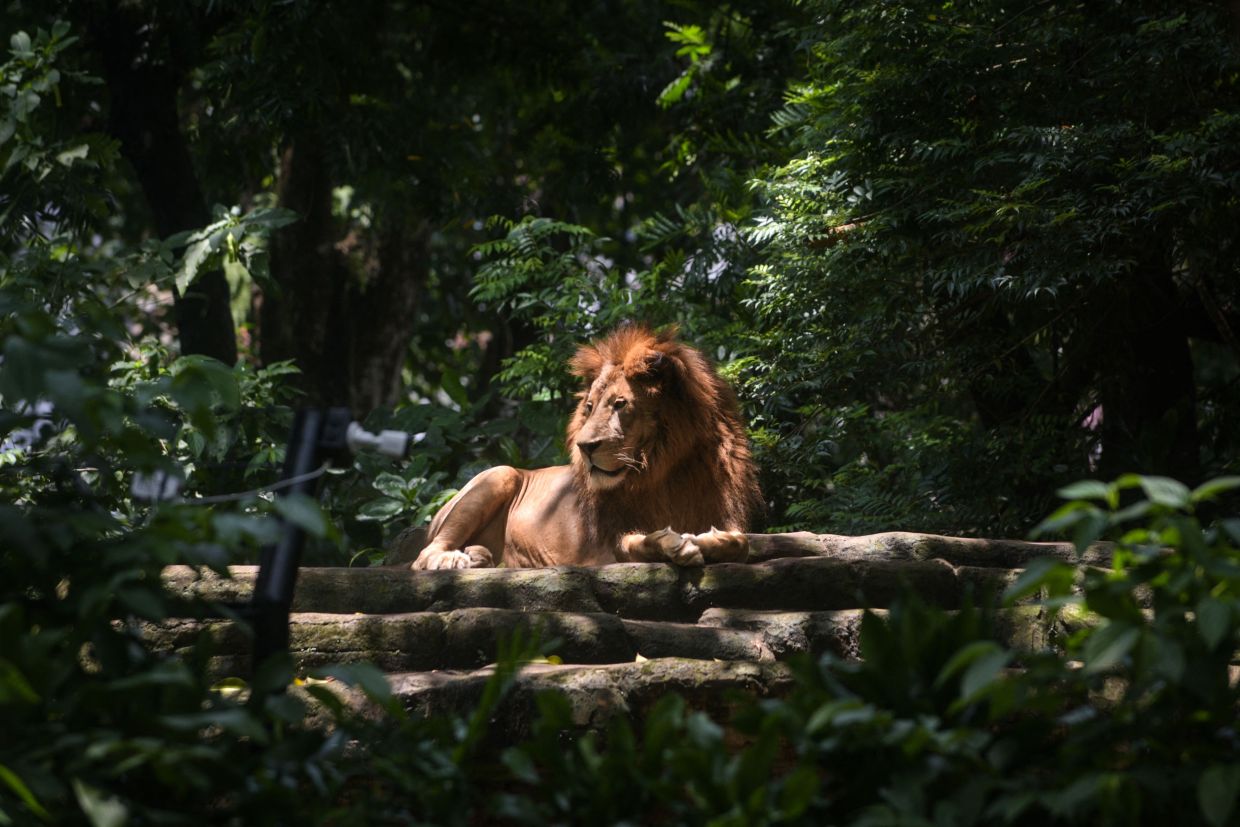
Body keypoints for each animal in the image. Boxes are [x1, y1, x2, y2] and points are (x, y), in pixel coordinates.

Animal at [411, 325, 762, 570]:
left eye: (620, 404)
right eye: (590, 407)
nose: (585, 447)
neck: (665, 471)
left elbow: (743, 543)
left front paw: (711, 540)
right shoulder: (603, 546)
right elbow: (633, 544)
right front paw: (673, 544)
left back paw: (478, 557)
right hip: (500, 474)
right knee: (422, 556)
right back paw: (453, 559)